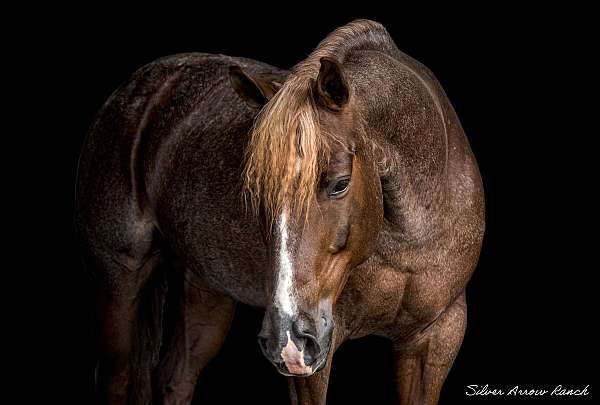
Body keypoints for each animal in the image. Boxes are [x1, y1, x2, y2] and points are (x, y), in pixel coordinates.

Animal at [75, 19, 486, 404]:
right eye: (256, 189)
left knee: (176, 379)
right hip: (118, 283)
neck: (408, 239)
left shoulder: (435, 338)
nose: (288, 337)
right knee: (116, 380)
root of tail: (139, 90)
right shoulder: (316, 355)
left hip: (206, 290)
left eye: (340, 183)